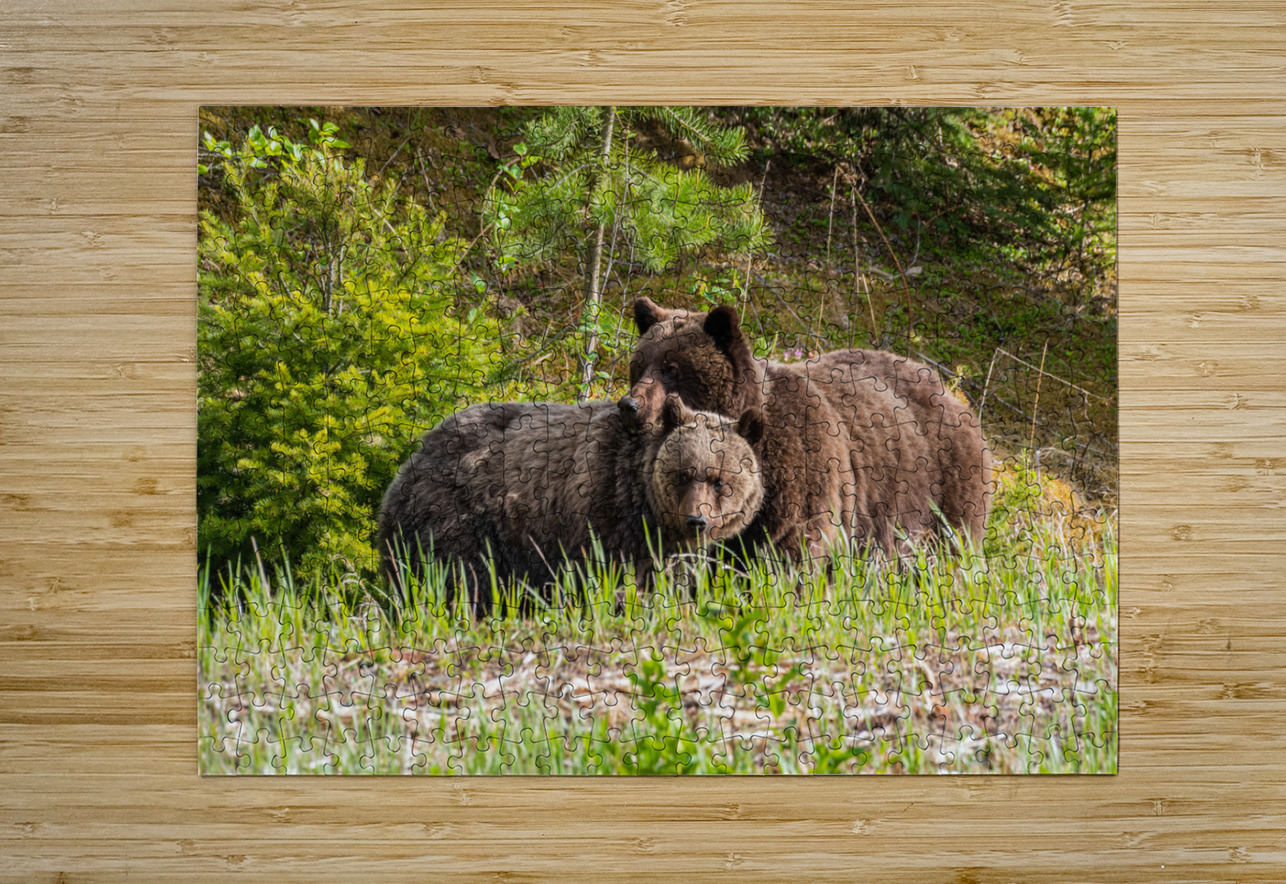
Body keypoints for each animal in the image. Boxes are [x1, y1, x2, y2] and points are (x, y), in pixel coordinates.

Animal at [377, 394, 765, 614]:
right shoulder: (600, 513)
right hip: (457, 516)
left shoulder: (666, 546)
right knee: (459, 576)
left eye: (720, 480)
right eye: (684, 474)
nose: (696, 520)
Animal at [619, 296, 991, 562]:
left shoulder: (804, 470)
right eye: (639, 365)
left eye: (672, 369)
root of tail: (951, 392)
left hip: (941, 487)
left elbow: (796, 544)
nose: (630, 405)